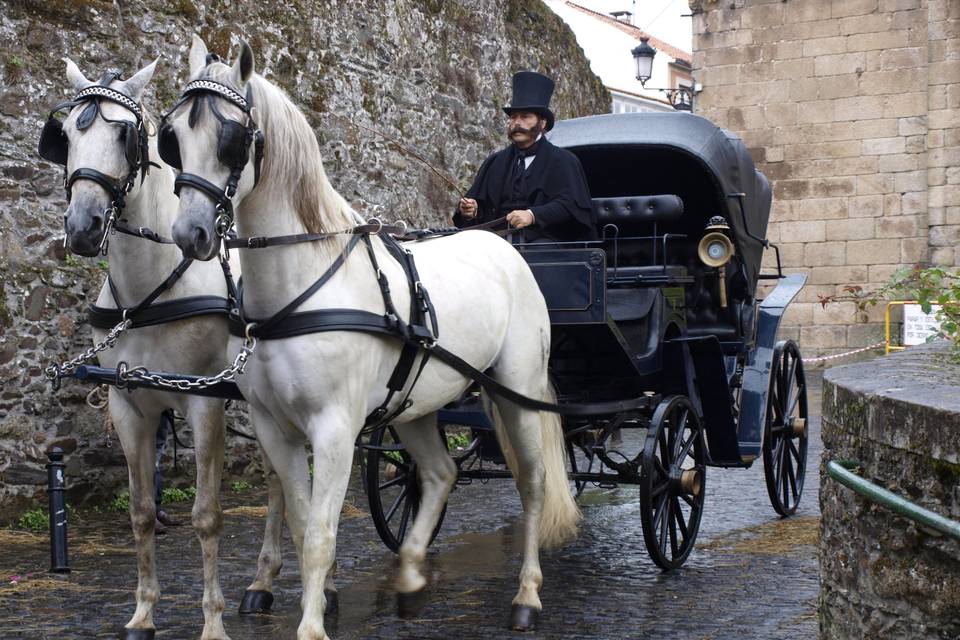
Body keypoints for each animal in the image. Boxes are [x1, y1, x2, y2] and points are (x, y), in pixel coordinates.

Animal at [53, 57, 284, 636]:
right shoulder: (128, 405)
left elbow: (207, 516)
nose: (83, 227)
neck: (150, 289)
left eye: (124, 134)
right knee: (280, 478)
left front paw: (212, 622)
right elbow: (139, 512)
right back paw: (263, 581)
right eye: (65, 134)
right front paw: (143, 613)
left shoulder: (203, 404)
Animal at [167, 38, 576, 640]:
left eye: (232, 138)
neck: (303, 283)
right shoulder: (275, 428)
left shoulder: (335, 427)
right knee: (440, 473)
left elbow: (320, 534)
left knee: (533, 484)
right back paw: (409, 575)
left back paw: (526, 595)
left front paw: (312, 626)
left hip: (515, 391)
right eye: (171, 137)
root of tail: (503, 245)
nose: (188, 233)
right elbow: (299, 523)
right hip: (415, 406)